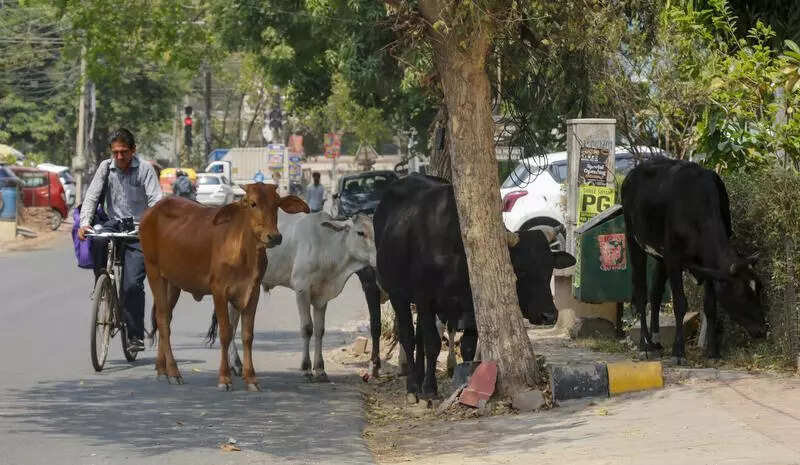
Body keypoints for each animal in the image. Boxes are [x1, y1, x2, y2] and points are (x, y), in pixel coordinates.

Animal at [139, 184, 309, 391]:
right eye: (252, 203)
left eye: (277, 204)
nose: (274, 236)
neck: (245, 253)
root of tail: (153, 210)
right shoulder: (219, 291)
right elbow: (225, 333)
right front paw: (224, 378)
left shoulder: (253, 291)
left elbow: (247, 335)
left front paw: (251, 378)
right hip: (153, 271)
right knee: (163, 320)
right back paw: (173, 372)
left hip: (173, 282)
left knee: (165, 317)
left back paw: (161, 369)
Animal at [207, 211, 378, 382]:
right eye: (360, 232)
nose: (377, 259)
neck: (326, 245)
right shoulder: (302, 289)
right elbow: (307, 328)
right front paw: (306, 368)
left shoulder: (321, 297)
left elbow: (320, 330)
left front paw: (320, 369)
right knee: (230, 323)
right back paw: (236, 364)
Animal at [373, 174, 576, 401]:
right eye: (520, 270)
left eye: (549, 269)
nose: (549, 315)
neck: (456, 254)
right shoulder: (425, 299)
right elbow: (432, 343)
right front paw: (429, 389)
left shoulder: (471, 308)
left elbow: (468, 347)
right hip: (398, 295)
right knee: (408, 336)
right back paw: (413, 386)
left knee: (418, 338)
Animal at [621, 158, 765, 364]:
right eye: (741, 294)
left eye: (759, 289)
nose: (762, 330)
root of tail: (633, 173)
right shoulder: (674, 258)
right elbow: (680, 303)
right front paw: (678, 352)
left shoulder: (708, 265)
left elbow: (710, 306)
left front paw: (713, 352)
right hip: (633, 240)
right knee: (641, 293)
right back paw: (645, 345)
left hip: (660, 256)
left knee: (655, 294)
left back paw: (656, 343)